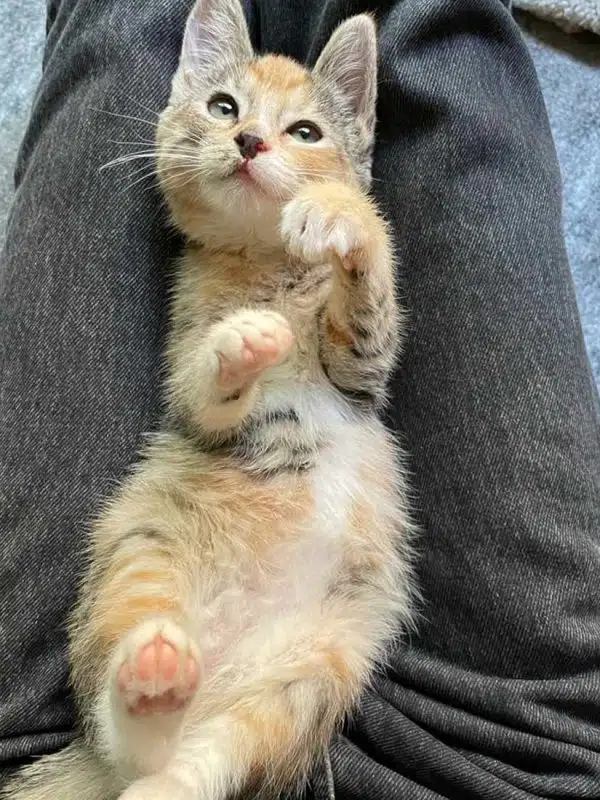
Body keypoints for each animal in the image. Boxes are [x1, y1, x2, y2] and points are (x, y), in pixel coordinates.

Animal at [3, 0, 415, 798]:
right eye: (224, 107)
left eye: (306, 132)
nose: (250, 141)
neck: (266, 266)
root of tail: (217, 669)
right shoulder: (190, 372)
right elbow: (203, 393)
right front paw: (239, 345)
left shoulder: (362, 375)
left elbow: (369, 304)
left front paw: (341, 218)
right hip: (140, 554)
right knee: (125, 732)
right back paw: (154, 679)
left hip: (316, 672)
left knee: (205, 759)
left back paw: (167, 762)